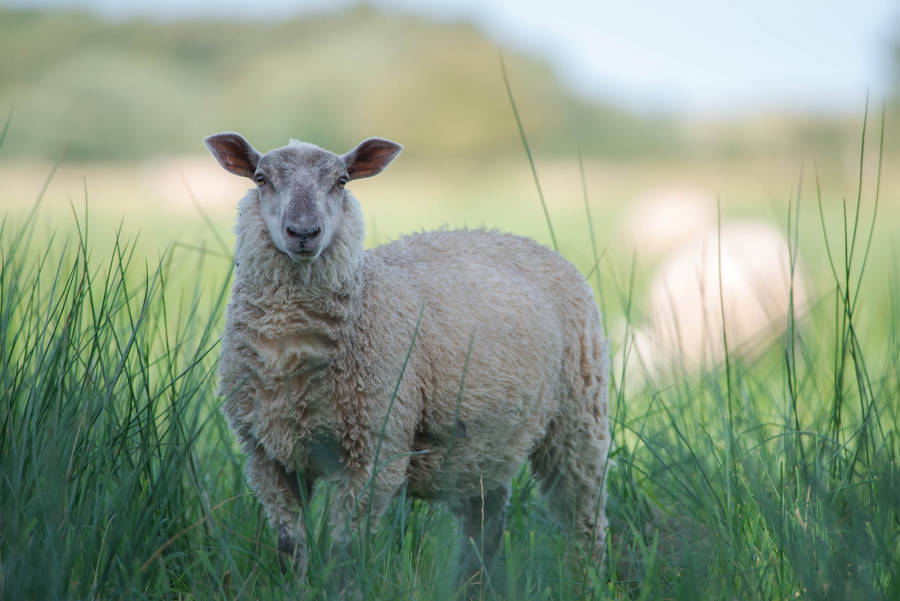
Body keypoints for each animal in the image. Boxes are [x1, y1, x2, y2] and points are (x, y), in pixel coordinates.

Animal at [204, 132, 611, 576]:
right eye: (261, 178)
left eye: (342, 181)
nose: (304, 232)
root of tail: (515, 236)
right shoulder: (268, 458)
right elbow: (290, 548)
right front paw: (295, 584)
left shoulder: (374, 453)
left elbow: (346, 552)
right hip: (484, 443)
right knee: (484, 522)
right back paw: (473, 581)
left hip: (578, 420)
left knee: (584, 515)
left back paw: (585, 577)